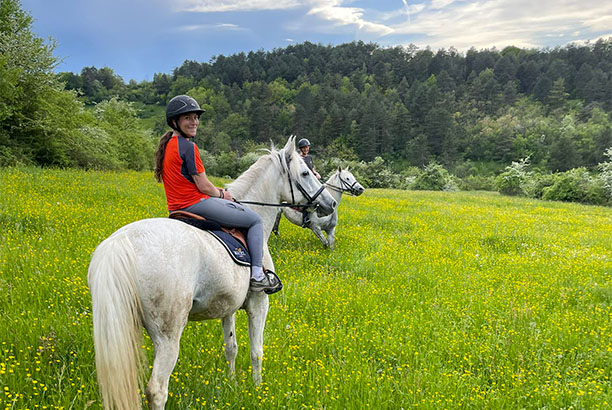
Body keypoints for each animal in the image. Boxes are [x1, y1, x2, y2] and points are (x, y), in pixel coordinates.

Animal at [86, 136, 334, 408]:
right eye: (305, 172)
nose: (330, 203)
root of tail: (121, 242)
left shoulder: (228, 307)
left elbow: (231, 346)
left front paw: (232, 384)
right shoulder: (259, 303)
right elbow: (256, 351)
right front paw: (258, 390)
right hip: (168, 334)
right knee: (157, 389)